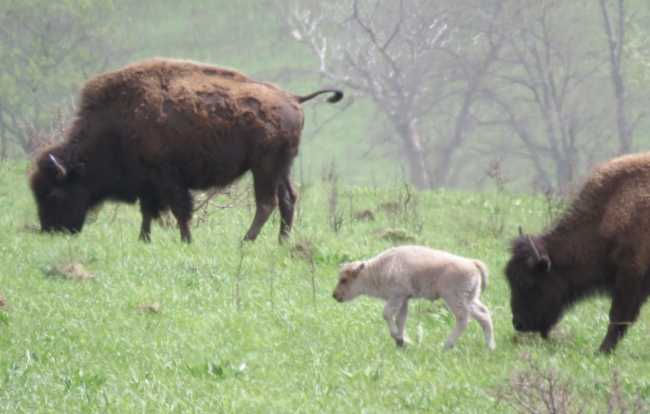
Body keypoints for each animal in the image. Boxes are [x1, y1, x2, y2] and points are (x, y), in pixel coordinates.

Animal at [30, 58, 343, 243]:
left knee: (267, 203)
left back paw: (245, 241)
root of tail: (292, 98)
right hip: (281, 167)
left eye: (54, 194)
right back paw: (282, 242)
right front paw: (144, 239)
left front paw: (186, 240)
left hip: (263, 167)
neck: (116, 122)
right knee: (288, 198)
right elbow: (147, 211)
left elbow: (180, 210)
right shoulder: (149, 183)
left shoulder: (169, 179)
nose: (50, 231)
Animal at [333, 245, 496, 350]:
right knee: (483, 315)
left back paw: (446, 345)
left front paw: (399, 338)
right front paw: (402, 342)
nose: (335, 295)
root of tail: (472, 263)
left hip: (454, 299)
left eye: (344, 279)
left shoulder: (397, 296)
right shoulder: (404, 299)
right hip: (471, 299)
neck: (376, 270)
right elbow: (401, 319)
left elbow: (387, 314)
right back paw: (490, 346)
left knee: (463, 319)